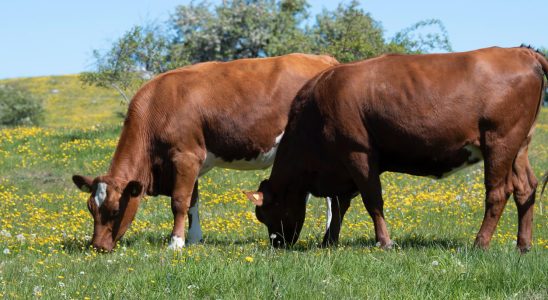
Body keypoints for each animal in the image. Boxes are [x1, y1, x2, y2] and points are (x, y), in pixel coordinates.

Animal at [72, 53, 338, 251]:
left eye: (115, 210)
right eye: (90, 208)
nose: (97, 246)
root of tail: (324, 60)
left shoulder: (185, 157)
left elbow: (179, 201)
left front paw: (176, 243)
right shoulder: (192, 162)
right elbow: (193, 202)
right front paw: (194, 239)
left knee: (329, 197)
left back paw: (327, 237)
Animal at [246, 47, 544, 253]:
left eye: (265, 214)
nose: (278, 245)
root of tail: (520, 51)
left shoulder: (358, 153)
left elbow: (372, 201)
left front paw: (385, 242)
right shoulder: (343, 167)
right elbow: (341, 205)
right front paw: (328, 241)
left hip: (499, 142)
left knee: (498, 192)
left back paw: (479, 244)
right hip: (519, 146)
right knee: (525, 188)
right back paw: (523, 245)